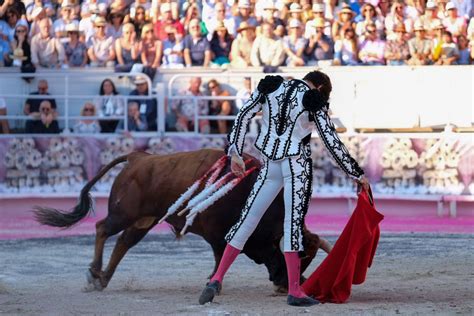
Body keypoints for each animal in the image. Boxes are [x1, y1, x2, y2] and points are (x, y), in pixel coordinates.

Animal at [34, 149, 330, 292]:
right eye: (299, 255)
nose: (293, 282)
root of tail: (138, 157)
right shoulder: (218, 235)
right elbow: (222, 255)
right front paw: (213, 282)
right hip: (123, 214)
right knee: (102, 229)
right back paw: (95, 271)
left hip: (144, 221)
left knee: (123, 243)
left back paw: (102, 279)